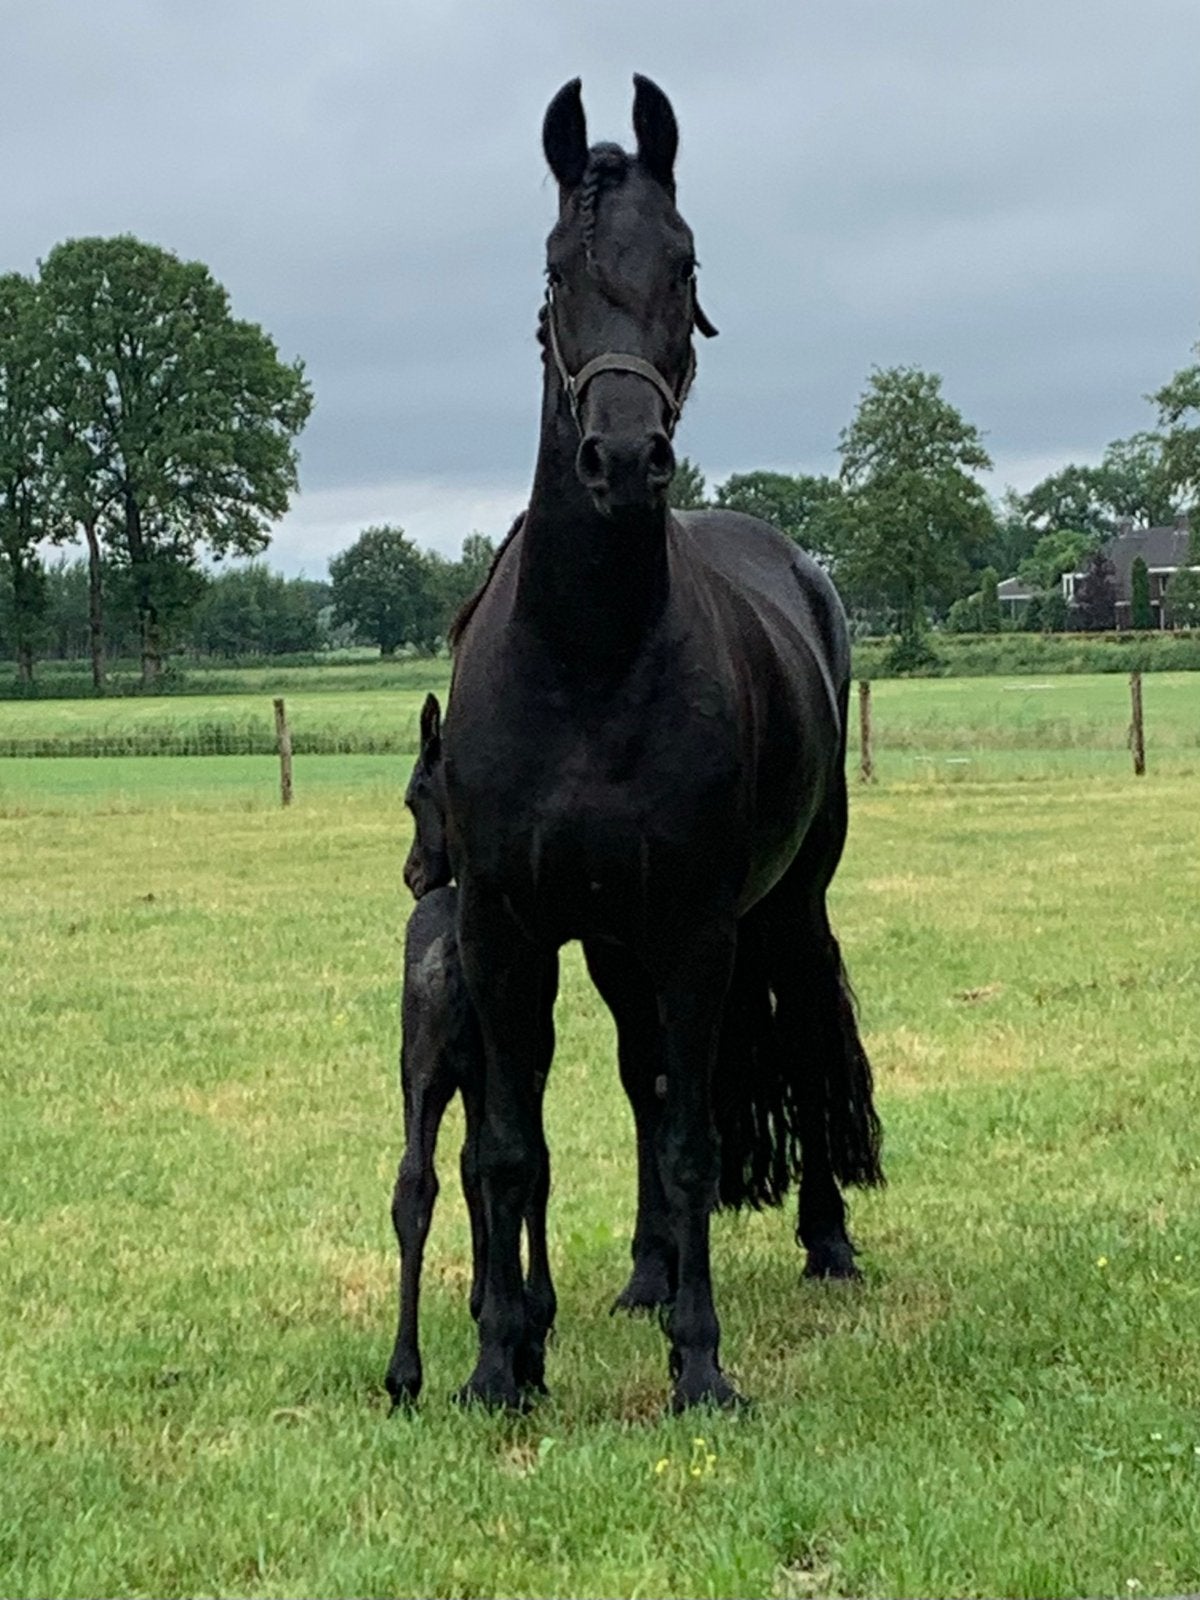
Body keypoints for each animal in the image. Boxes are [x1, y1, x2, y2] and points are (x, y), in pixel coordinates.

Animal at [442, 75, 883, 1413]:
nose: (626, 459)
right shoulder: (509, 933)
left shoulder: (695, 931)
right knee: (641, 1078)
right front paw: (498, 1365)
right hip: (612, 946)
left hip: (782, 908)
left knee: (794, 1041)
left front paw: (702, 1365)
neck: (587, 659)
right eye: (556, 270)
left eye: (683, 264)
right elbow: (513, 1144)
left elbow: (693, 1140)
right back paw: (643, 1275)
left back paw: (823, 1242)